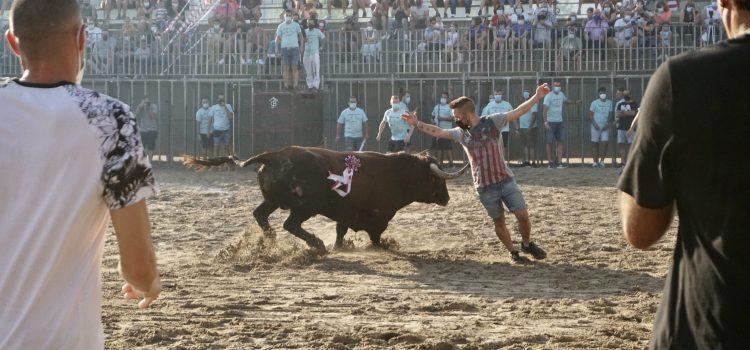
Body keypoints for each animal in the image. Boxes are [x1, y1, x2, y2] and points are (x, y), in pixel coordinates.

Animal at [185, 146, 468, 253]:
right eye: (438, 181)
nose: (446, 198)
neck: (395, 174)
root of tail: (274, 155)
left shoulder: (346, 214)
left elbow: (341, 232)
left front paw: (340, 246)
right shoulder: (377, 219)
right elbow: (375, 237)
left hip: (274, 201)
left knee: (260, 215)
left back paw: (271, 241)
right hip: (305, 206)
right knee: (290, 224)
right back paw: (316, 245)